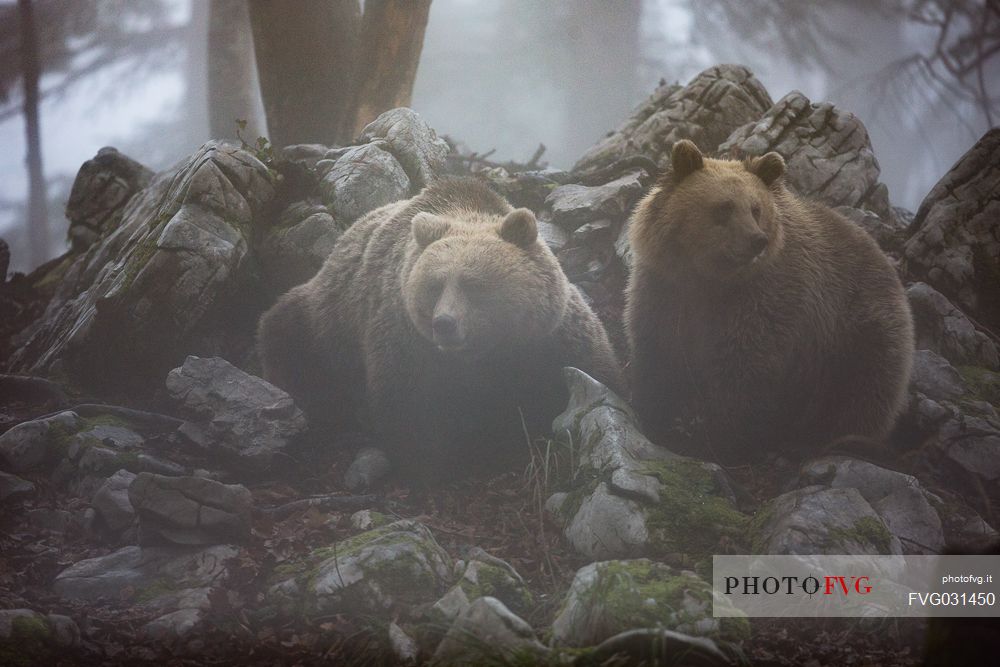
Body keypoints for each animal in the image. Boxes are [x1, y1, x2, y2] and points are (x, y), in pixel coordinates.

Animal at [254, 179, 620, 480]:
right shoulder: (405, 338)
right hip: (328, 320)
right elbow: (411, 409)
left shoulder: (547, 335)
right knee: (288, 336)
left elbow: (591, 366)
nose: (444, 323)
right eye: (434, 285)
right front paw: (449, 455)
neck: (485, 354)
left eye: (474, 285)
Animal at [624, 141, 916, 464]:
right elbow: (657, 348)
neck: (708, 281)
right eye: (724, 207)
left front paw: (711, 440)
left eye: (755, 209)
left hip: (857, 331)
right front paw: (654, 410)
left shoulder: (764, 301)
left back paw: (834, 441)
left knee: (863, 390)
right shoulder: (665, 289)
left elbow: (744, 368)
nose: (757, 239)